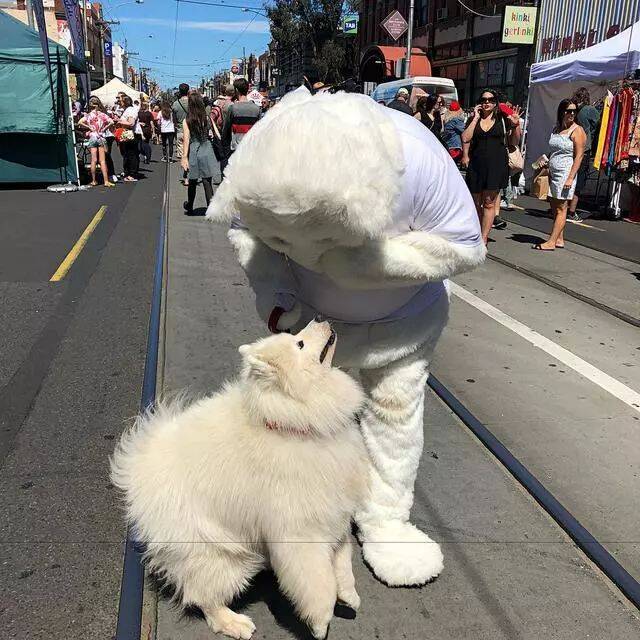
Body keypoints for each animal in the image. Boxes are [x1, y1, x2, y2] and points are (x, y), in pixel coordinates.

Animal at [112, 320, 368, 640]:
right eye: (299, 344)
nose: (320, 319)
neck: (291, 421)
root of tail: (138, 473)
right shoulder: (300, 532)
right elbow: (318, 581)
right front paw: (321, 623)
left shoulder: (335, 514)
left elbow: (343, 562)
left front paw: (349, 595)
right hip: (224, 558)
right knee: (203, 598)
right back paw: (235, 623)